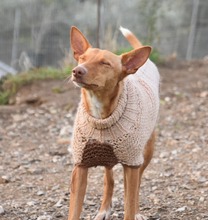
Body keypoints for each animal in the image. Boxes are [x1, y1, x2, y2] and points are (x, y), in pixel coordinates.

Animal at [68, 26, 159, 220]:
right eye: (82, 58)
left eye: (105, 64)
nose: (77, 70)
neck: (100, 116)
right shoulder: (80, 167)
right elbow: (74, 210)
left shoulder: (132, 165)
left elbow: (130, 203)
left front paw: (133, 211)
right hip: (107, 156)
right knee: (109, 179)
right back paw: (104, 209)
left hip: (145, 153)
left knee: (137, 184)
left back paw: (138, 211)